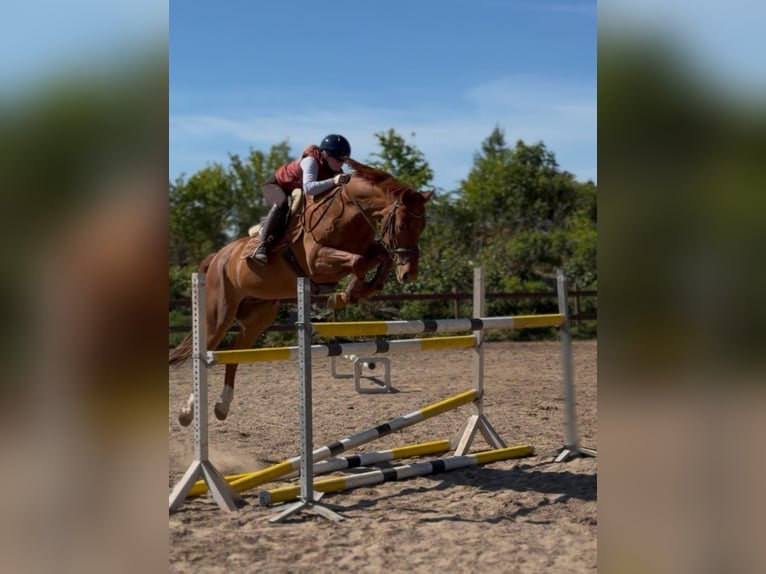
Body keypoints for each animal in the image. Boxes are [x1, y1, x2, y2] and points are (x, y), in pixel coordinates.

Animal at [170, 158, 433, 426]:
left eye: (422, 226)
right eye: (402, 225)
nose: (409, 274)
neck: (348, 213)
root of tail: (217, 257)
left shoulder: (361, 252)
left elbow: (379, 257)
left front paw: (354, 292)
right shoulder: (317, 261)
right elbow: (359, 262)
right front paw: (344, 295)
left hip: (259, 316)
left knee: (234, 351)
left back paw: (222, 406)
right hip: (220, 314)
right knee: (206, 350)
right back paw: (188, 412)